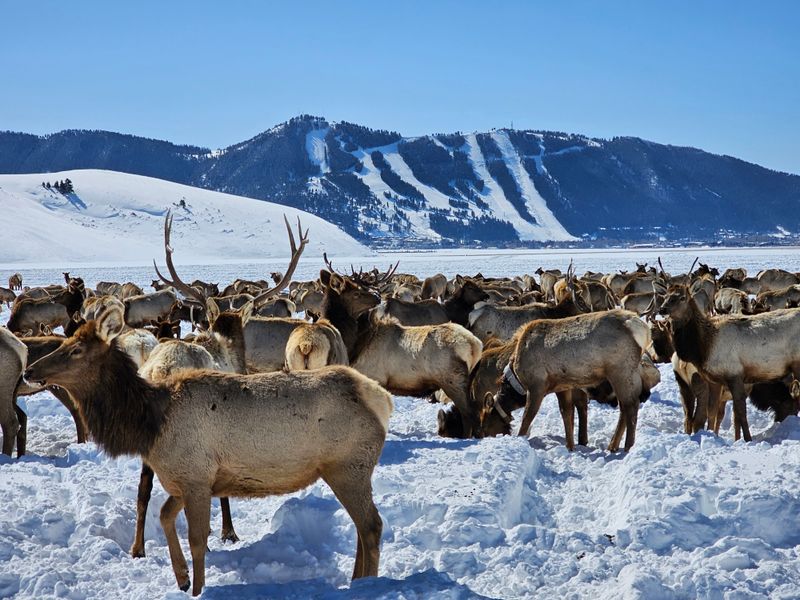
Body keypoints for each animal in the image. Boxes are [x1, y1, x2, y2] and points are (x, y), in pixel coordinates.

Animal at [24, 304, 393, 596]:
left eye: (76, 349)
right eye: (65, 341)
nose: (29, 369)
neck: (150, 425)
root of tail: (380, 398)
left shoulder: (196, 478)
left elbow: (198, 539)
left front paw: (197, 587)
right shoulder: (185, 479)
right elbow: (164, 515)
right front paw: (182, 578)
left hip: (347, 466)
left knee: (372, 525)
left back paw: (367, 584)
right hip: (346, 470)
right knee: (362, 527)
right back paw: (358, 581)